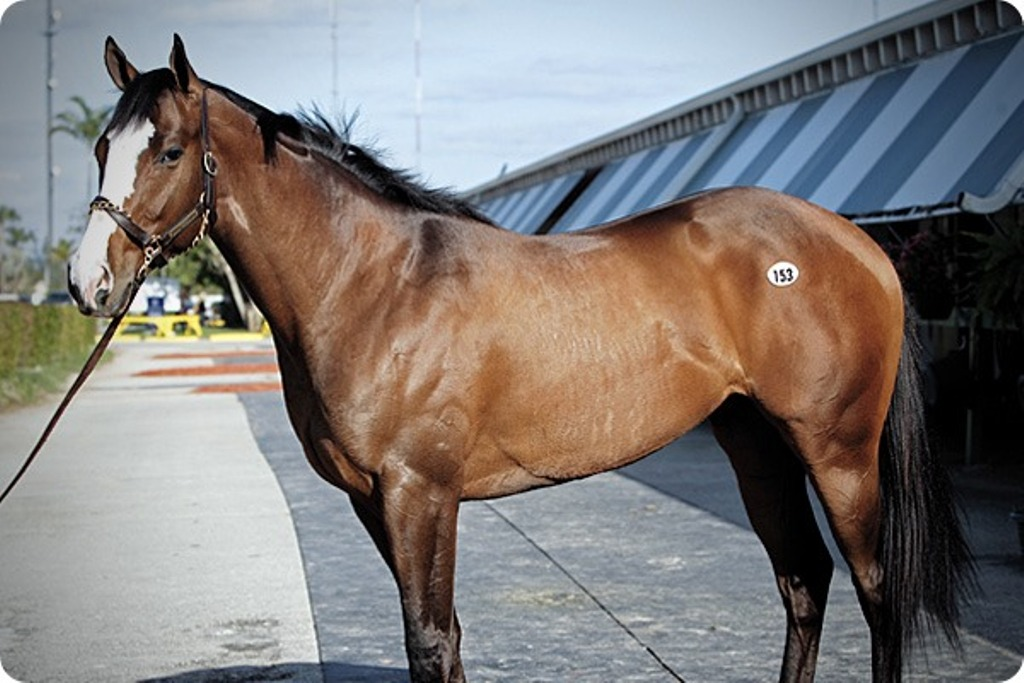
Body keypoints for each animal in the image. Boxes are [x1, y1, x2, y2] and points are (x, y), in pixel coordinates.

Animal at [68, 34, 970, 679]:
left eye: (169, 150)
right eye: (101, 148)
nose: (88, 281)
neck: (374, 283)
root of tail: (859, 245)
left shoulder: (422, 494)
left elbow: (430, 639)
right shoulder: (373, 499)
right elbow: (448, 636)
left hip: (838, 450)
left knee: (876, 590)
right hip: (756, 444)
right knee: (804, 580)